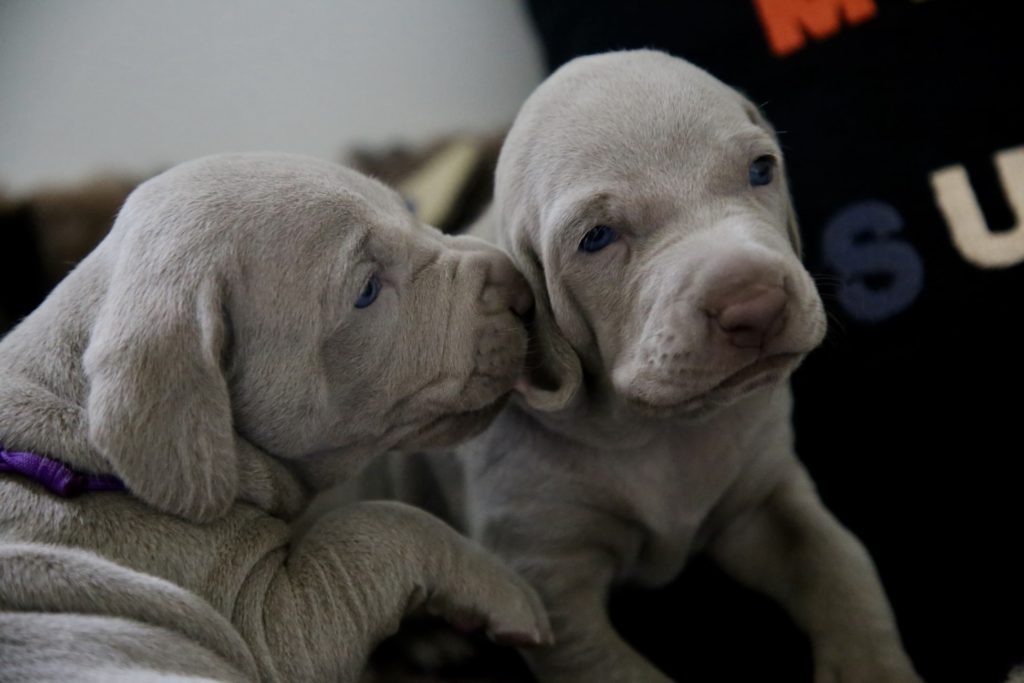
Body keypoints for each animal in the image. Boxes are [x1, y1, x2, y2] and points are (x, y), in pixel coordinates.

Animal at [0, 153, 552, 683]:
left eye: (410, 210)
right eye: (367, 290)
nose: (521, 290)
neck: (84, 469)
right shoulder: (268, 618)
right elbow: (380, 525)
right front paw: (509, 595)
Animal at [356, 52, 925, 683]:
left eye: (761, 170)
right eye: (597, 238)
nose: (756, 305)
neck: (657, 428)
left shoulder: (763, 498)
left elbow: (841, 566)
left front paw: (874, 666)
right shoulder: (549, 586)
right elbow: (620, 671)